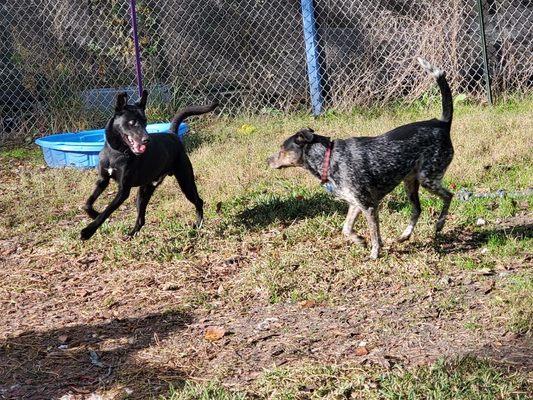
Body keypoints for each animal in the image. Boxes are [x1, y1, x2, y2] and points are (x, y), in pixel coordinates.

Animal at [80, 91, 216, 239]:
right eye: (132, 123)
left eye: (145, 122)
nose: (147, 140)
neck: (116, 153)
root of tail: (172, 134)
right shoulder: (103, 180)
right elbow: (87, 204)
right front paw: (93, 214)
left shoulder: (123, 191)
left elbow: (107, 210)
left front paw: (88, 231)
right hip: (145, 190)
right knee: (141, 219)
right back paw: (131, 235)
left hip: (185, 182)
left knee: (199, 201)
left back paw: (198, 225)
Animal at [266, 58, 454, 260]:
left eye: (282, 149)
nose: (267, 160)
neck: (329, 158)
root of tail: (442, 123)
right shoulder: (355, 204)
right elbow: (346, 229)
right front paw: (359, 240)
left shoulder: (368, 206)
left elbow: (374, 234)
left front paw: (374, 254)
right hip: (410, 182)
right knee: (417, 209)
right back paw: (405, 235)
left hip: (428, 179)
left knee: (449, 196)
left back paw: (440, 224)